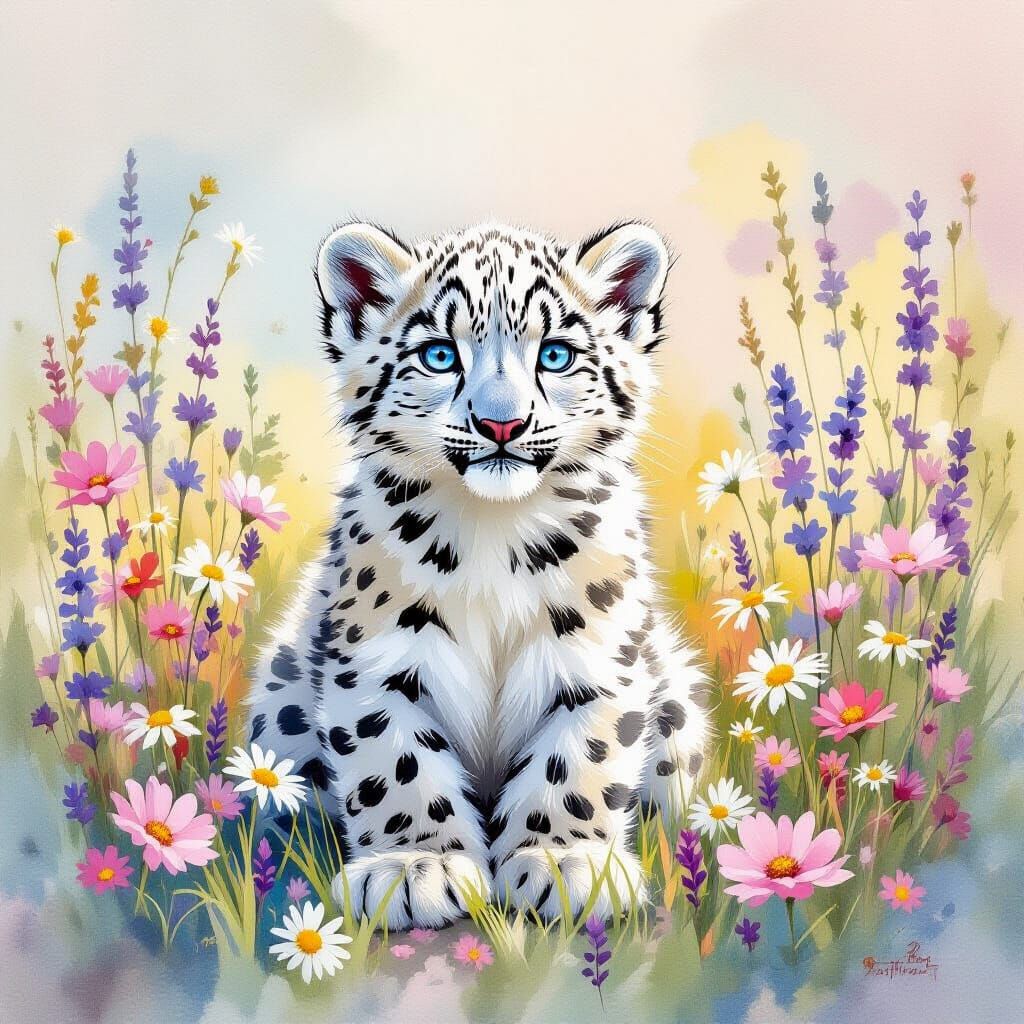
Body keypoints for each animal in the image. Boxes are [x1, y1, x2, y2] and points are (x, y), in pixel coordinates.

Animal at [247, 219, 709, 930]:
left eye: (556, 355)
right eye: (440, 355)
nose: (501, 422)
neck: (495, 532)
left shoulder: (598, 657)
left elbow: (580, 760)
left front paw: (563, 861)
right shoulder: (377, 661)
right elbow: (396, 763)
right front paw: (415, 867)